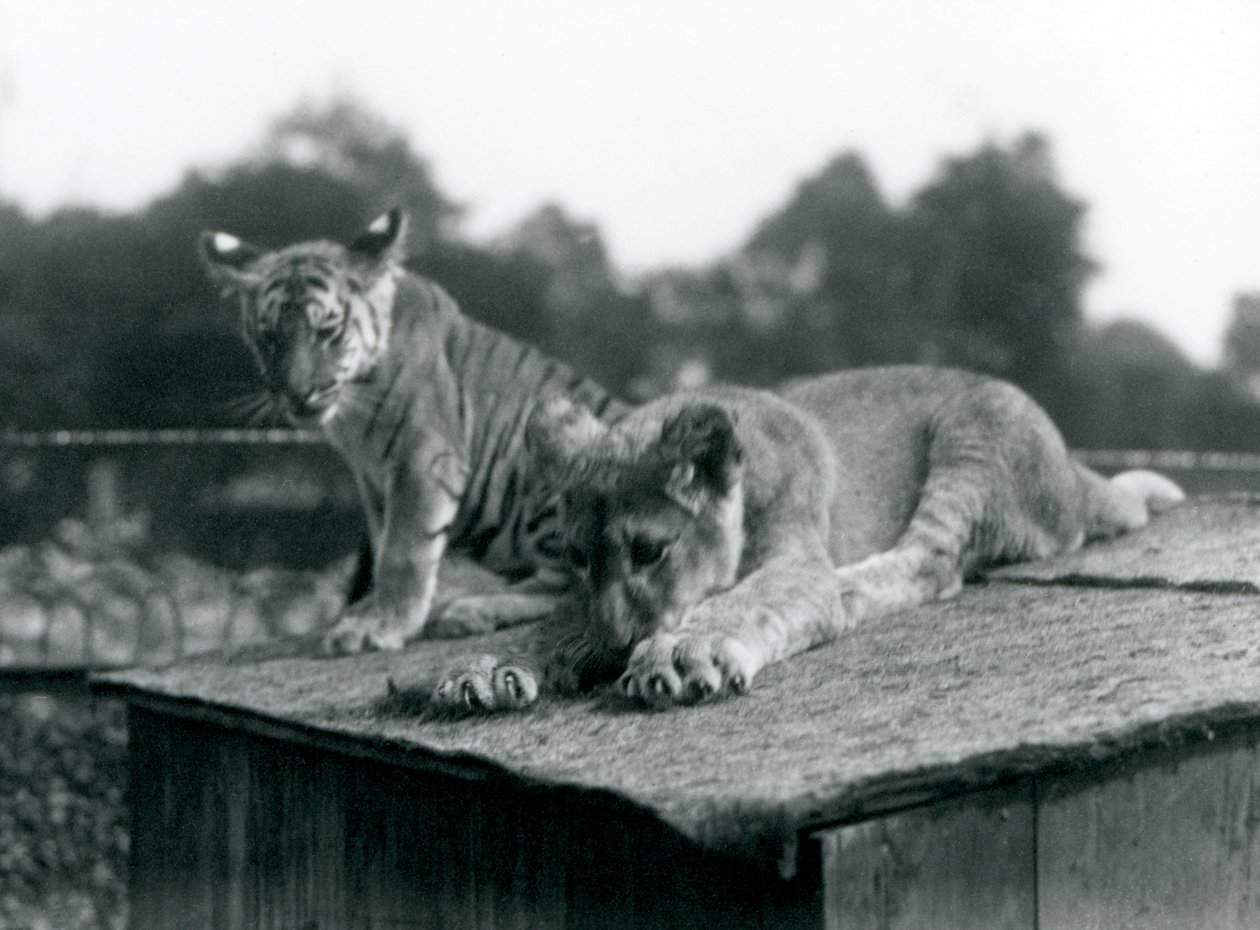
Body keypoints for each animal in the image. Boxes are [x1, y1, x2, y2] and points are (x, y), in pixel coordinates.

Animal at [198, 209, 627, 654]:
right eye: (270, 336)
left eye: (328, 331)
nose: (299, 393)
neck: (351, 405)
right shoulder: (371, 476)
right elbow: (383, 539)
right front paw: (372, 609)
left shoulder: (424, 457)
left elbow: (404, 550)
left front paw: (380, 625)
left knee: (580, 590)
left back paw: (470, 610)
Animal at [425, 366, 1184, 711]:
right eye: (582, 556)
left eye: (651, 551)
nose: (614, 645)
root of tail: (1077, 470)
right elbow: (559, 617)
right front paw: (486, 668)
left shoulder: (796, 558)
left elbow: (741, 602)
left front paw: (681, 652)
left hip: (976, 429)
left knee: (930, 565)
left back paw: (849, 590)